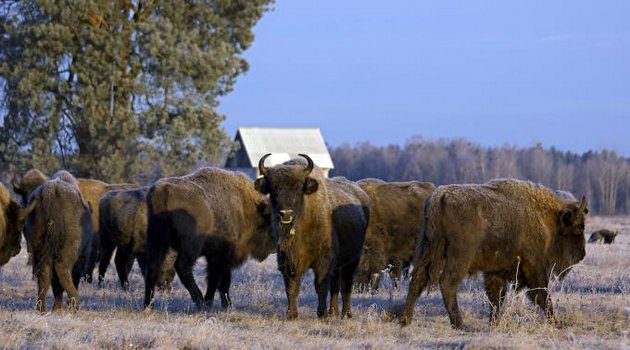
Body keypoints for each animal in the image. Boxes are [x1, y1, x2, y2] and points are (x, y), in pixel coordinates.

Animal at [22, 171, 92, 310]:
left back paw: (42, 308)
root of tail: (50, 191)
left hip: (40, 249)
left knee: (44, 273)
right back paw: (75, 303)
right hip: (67, 250)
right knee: (62, 269)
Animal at [147, 167, 278, 308]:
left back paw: (149, 304)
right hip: (191, 246)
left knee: (153, 266)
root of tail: (163, 191)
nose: (275, 247)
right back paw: (199, 300)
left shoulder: (215, 255)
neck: (244, 207)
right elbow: (219, 280)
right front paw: (221, 303)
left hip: (158, 241)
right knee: (183, 266)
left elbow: (215, 278)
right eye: (269, 223)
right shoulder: (223, 255)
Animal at [254, 154, 370, 318]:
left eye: (298, 188)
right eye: (273, 189)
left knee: (346, 285)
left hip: (353, 259)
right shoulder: (287, 260)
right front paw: (291, 314)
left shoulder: (323, 260)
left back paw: (346, 314)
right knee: (336, 285)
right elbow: (291, 287)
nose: (285, 214)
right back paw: (333, 312)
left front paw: (321, 313)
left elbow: (320, 285)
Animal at [402, 179, 592, 330]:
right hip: (459, 258)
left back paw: (405, 320)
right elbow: (541, 293)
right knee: (447, 283)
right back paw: (460, 324)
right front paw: (557, 323)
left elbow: (496, 298)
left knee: (417, 281)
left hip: (427, 250)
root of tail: (439, 197)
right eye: (578, 228)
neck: (546, 218)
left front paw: (494, 323)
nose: (582, 254)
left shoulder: (496, 270)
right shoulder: (533, 265)